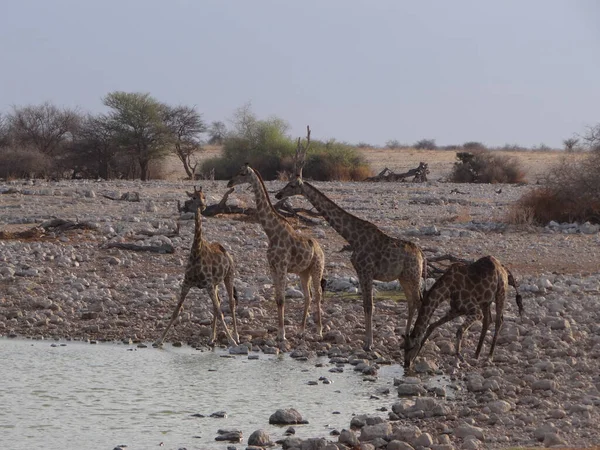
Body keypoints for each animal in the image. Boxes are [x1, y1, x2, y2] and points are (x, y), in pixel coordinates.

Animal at [155, 186, 239, 348]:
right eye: (193, 197)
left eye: (204, 196)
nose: (202, 205)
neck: (196, 253)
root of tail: (228, 254)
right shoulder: (187, 283)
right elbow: (176, 311)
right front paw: (159, 339)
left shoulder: (207, 284)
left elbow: (221, 313)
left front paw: (231, 340)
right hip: (216, 284)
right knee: (218, 303)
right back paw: (211, 338)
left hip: (228, 276)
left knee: (231, 303)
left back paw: (236, 337)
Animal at [227, 164, 326, 342]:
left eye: (243, 173)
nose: (229, 182)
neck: (272, 233)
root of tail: (321, 250)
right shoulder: (272, 267)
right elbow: (277, 299)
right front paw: (280, 333)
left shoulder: (282, 267)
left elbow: (282, 299)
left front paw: (282, 334)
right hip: (304, 272)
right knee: (308, 296)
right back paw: (301, 331)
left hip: (317, 269)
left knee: (318, 294)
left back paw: (319, 331)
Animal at [276, 126, 426, 352]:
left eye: (293, 184)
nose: (277, 195)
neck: (353, 237)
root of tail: (422, 255)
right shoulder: (361, 271)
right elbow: (366, 304)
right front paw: (367, 340)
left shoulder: (366, 270)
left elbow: (369, 305)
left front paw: (369, 343)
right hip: (404, 277)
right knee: (412, 302)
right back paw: (406, 338)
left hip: (412, 275)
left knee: (418, 301)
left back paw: (415, 339)